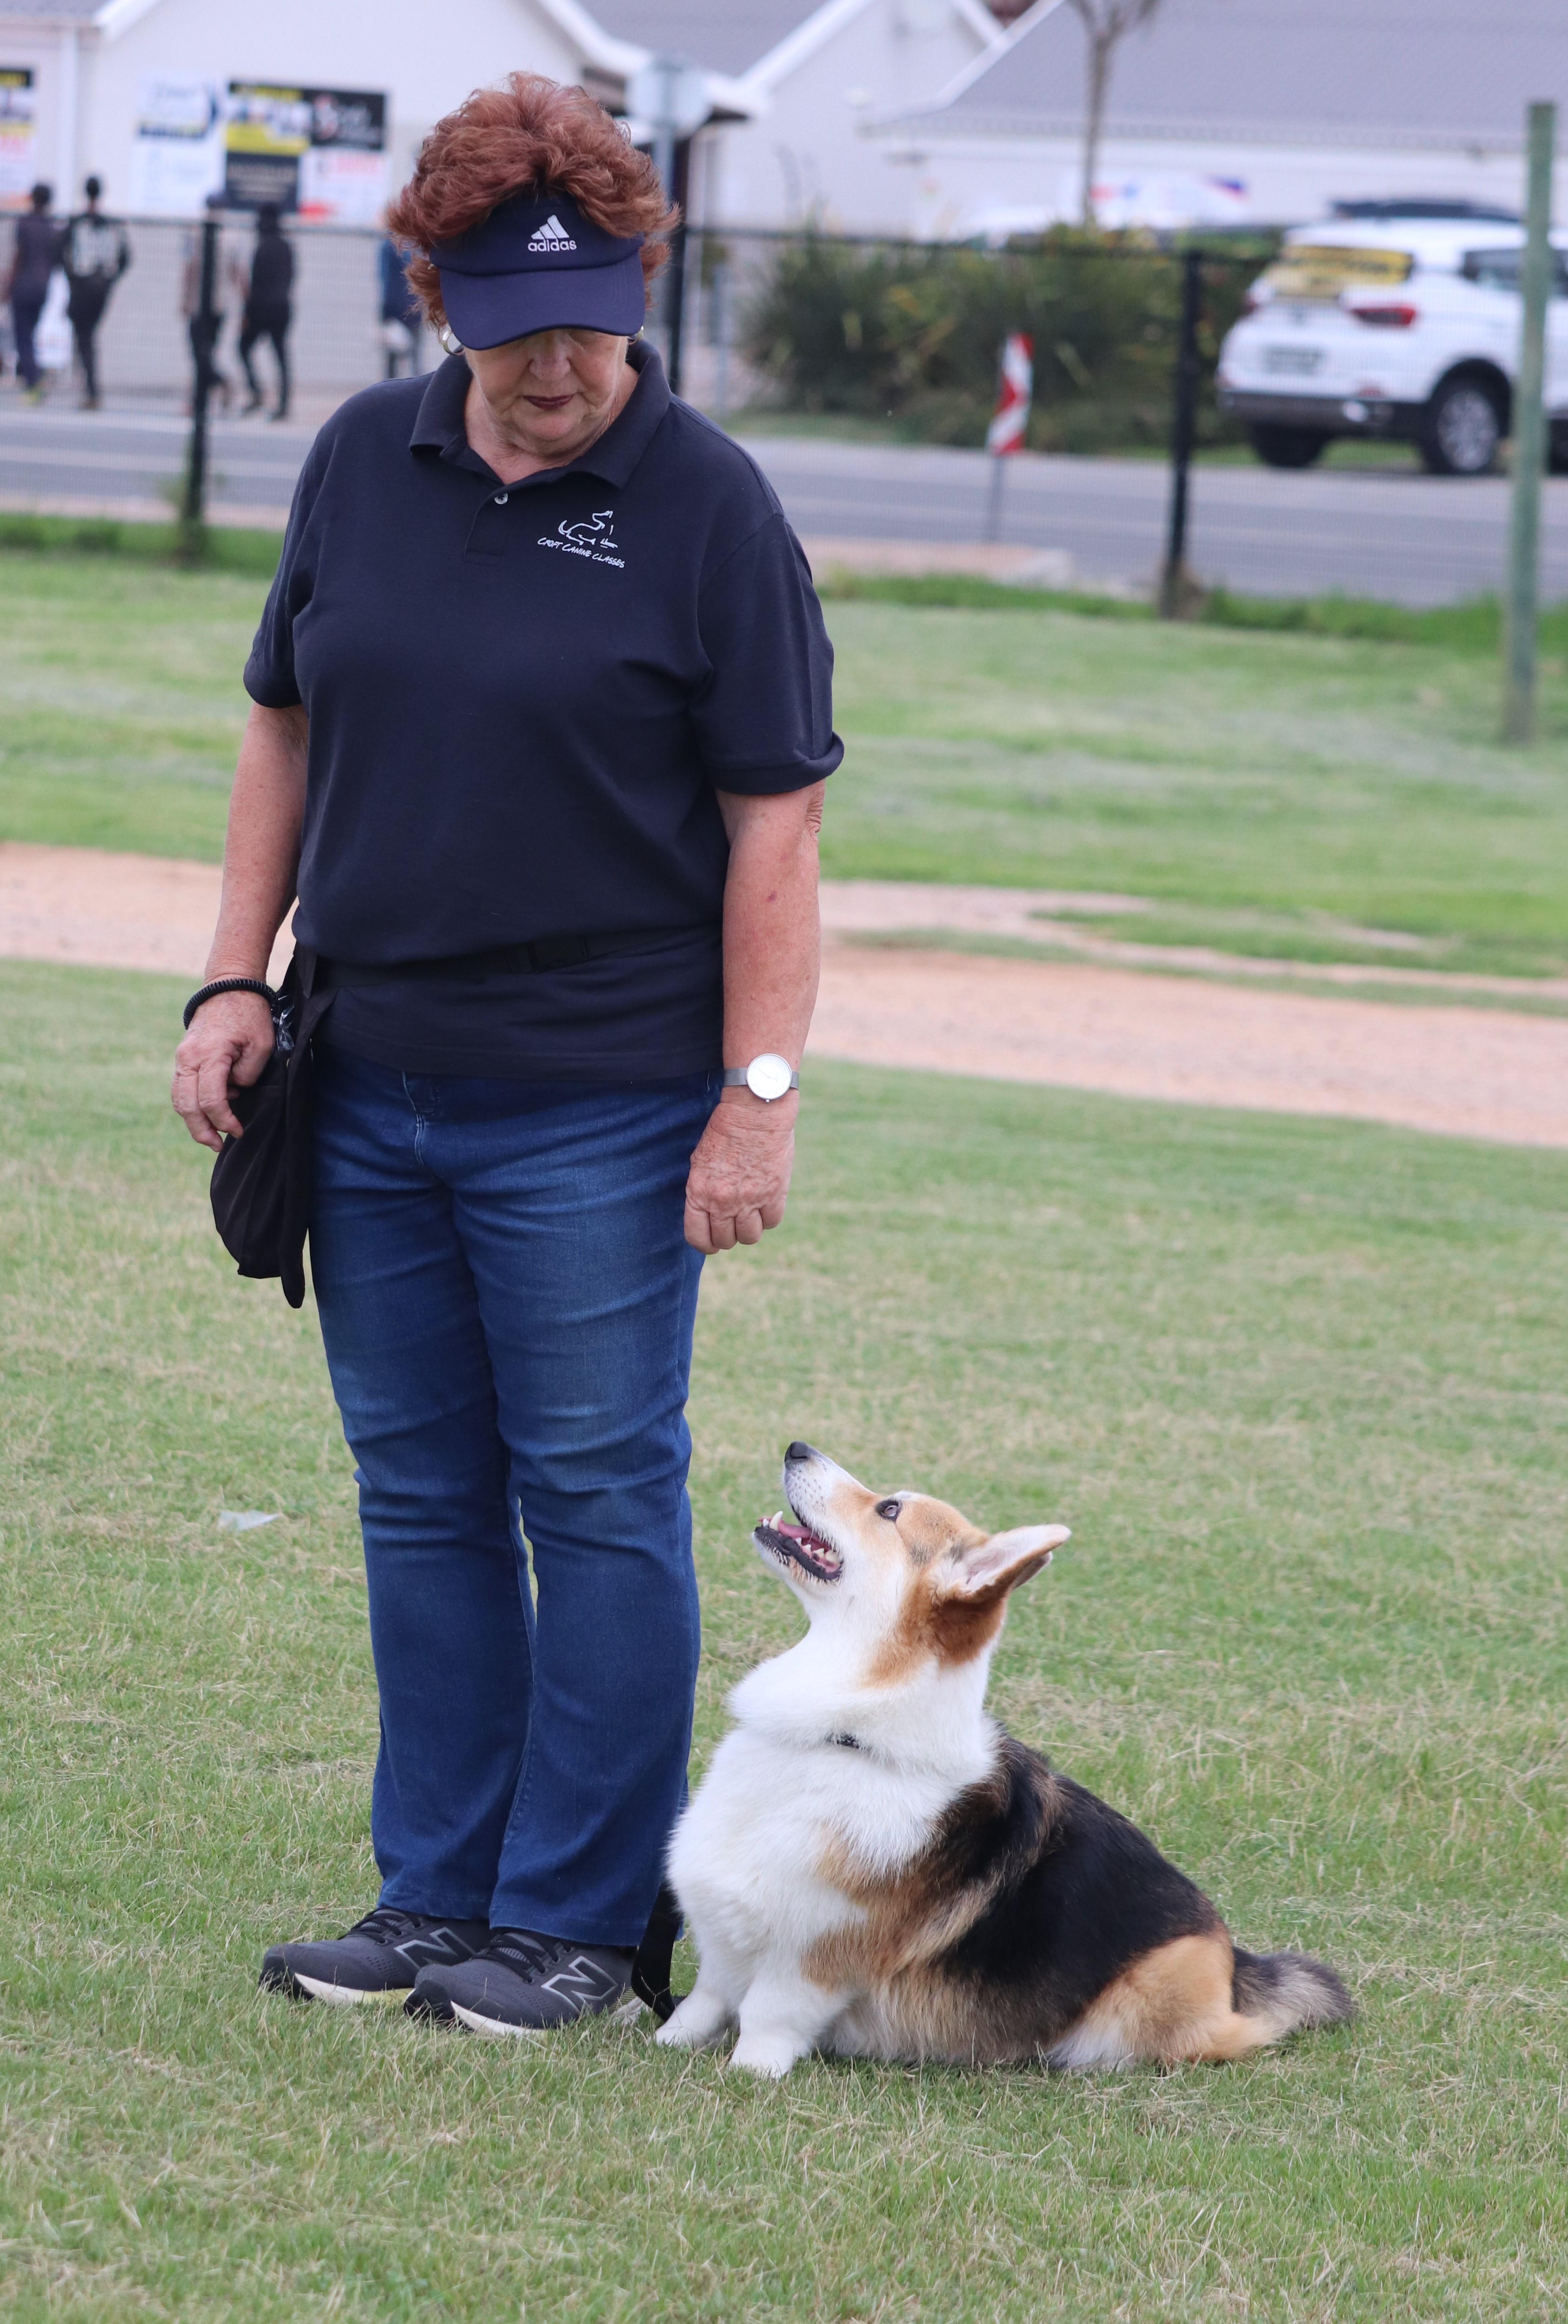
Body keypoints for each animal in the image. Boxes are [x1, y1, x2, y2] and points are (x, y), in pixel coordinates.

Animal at [658, 1443, 1352, 2078]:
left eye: (889, 1509)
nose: (797, 1447)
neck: (847, 1736)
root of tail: (1233, 1962)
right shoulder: (721, 1937)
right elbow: (706, 1998)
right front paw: (667, 2040)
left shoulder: (815, 1956)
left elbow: (768, 2015)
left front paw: (748, 2073)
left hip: (1144, 2006)